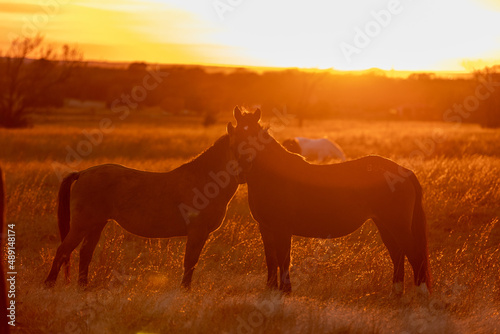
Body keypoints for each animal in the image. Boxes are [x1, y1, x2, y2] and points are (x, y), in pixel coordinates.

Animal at [44, 134, 240, 288]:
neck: (205, 181)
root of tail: (83, 173)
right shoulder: (197, 231)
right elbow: (190, 262)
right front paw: (185, 291)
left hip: (96, 225)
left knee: (85, 254)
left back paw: (83, 288)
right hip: (81, 225)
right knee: (63, 251)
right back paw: (49, 286)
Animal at [229, 106, 432, 294]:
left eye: (255, 135)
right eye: (237, 134)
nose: (244, 166)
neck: (274, 175)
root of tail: (404, 170)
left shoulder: (282, 228)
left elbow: (283, 258)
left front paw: (285, 290)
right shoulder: (265, 228)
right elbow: (271, 259)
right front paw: (271, 288)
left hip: (397, 225)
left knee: (414, 254)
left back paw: (421, 293)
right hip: (384, 224)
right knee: (398, 254)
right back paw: (396, 293)